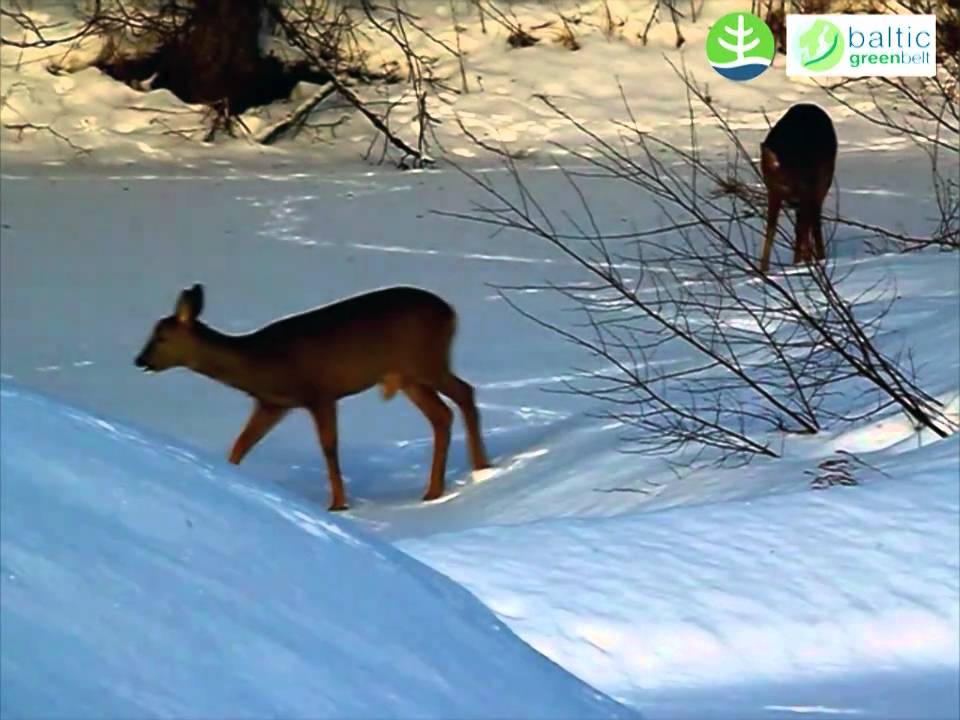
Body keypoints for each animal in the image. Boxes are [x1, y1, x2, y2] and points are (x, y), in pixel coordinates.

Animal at [134, 284, 491, 511]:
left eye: (161, 337)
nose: (140, 360)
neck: (261, 362)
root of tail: (451, 312)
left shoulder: (320, 393)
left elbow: (329, 447)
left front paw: (338, 504)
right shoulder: (273, 404)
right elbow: (240, 444)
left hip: (426, 362)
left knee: (464, 393)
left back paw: (480, 468)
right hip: (410, 377)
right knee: (442, 415)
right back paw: (433, 490)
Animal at [759, 103, 838, 275]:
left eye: (803, 180)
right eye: (784, 182)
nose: (794, 201)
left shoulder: (809, 189)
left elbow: (804, 228)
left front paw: (806, 262)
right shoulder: (773, 191)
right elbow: (770, 230)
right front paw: (763, 268)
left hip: (824, 180)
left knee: (813, 223)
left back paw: (818, 258)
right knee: (804, 225)